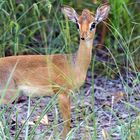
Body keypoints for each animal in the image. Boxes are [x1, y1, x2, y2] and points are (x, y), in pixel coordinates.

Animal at [0, 3, 109, 138]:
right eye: (77, 24)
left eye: (93, 24)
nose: (83, 37)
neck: (75, 65)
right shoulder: (62, 93)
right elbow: (67, 122)